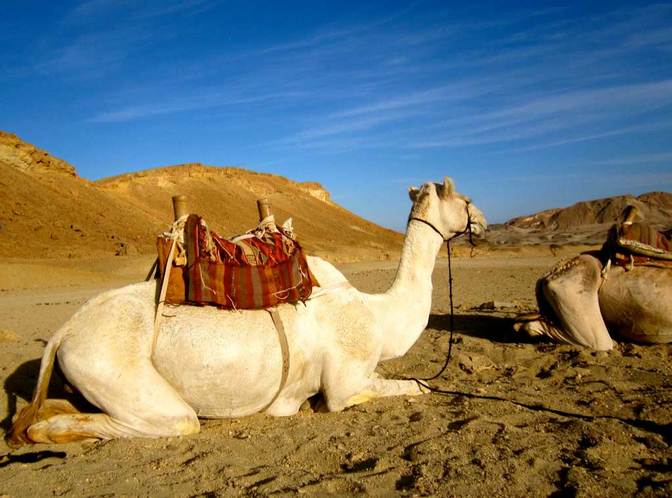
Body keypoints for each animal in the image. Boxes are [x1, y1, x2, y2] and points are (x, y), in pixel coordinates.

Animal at [7, 177, 486, 446]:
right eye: (463, 197)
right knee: (173, 422)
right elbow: (417, 386)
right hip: (118, 374)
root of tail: (64, 333)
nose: (481, 219)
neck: (378, 315)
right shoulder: (343, 385)